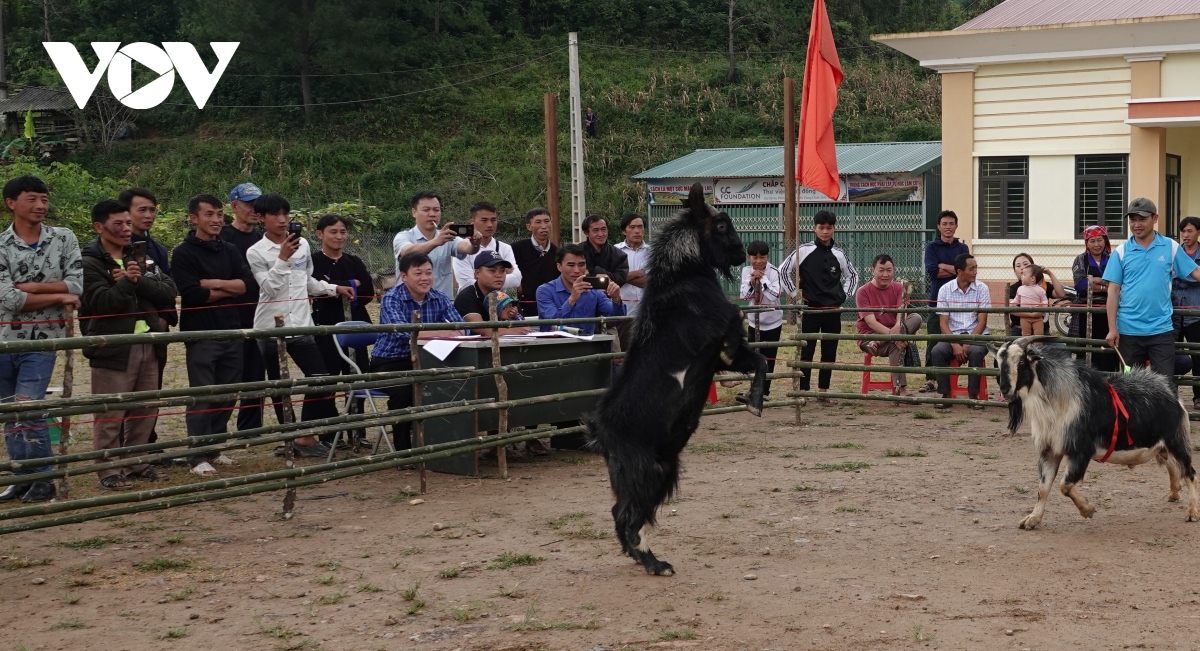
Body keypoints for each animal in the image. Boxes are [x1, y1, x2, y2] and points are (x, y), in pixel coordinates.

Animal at [590, 181, 768, 574]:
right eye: (721, 225)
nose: (742, 252)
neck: (682, 277)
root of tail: (601, 434)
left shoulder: (722, 356)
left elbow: (760, 359)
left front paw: (753, 400)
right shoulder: (719, 337)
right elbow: (741, 332)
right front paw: (752, 399)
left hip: (663, 468)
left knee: (622, 514)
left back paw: (642, 558)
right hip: (645, 472)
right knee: (626, 517)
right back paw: (654, 563)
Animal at [993, 336, 1200, 530]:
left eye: (1021, 361)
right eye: (999, 361)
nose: (1005, 389)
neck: (1061, 401)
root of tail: (1172, 396)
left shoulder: (1080, 451)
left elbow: (1065, 486)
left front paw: (1088, 510)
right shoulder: (1050, 451)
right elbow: (1043, 487)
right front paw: (1032, 519)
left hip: (1177, 441)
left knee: (1190, 473)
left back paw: (1192, 512)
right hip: (1160, 445)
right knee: (1173, 465)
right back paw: (1174, 492)